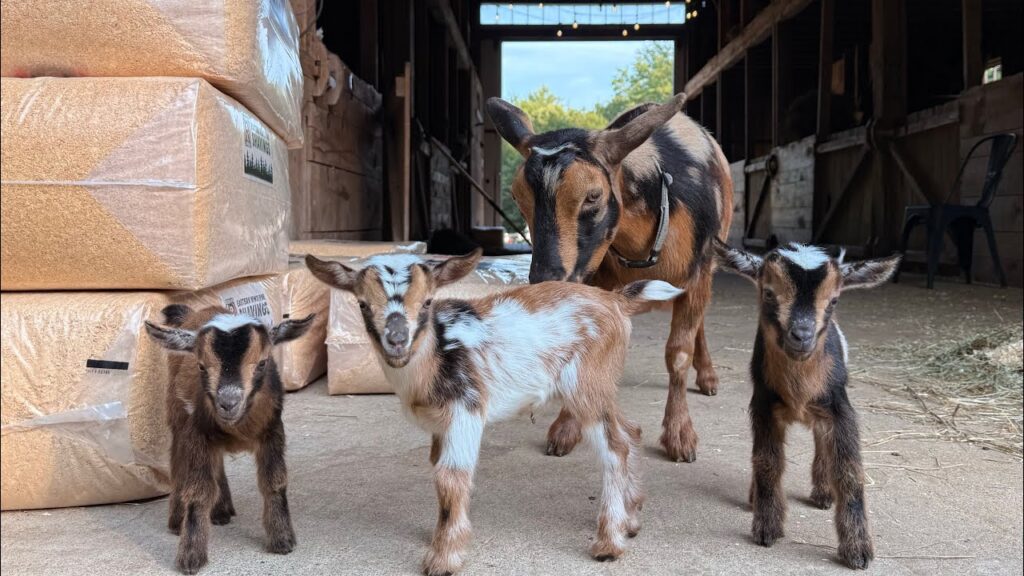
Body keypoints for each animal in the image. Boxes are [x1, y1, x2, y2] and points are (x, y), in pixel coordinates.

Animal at [145, 305, 314, 574]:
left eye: (263, 363)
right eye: (201, 366)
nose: (228, 403)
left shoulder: (273, 430)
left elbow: (274, 481)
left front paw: (283, 541)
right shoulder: (196, 434)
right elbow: (198, 490)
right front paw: (190, 557)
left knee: (218, 466)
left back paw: (222, 511)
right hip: (176, 414)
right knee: (178, 463)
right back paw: (177, 521)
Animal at [305, 249, 684, 575]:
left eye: (427, 301)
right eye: (362, 304)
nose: (397, 341)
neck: (435, 358)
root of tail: (615, 301)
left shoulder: (466, 410)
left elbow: (450, 478)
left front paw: (443, 559)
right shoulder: (440, 426)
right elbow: (439, 473)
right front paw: (442, 537)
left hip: (585, 385)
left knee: (614, 447)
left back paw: (608, 544)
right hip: (600, 387)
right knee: (630, 431)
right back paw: (631, 520)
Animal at [487, 93, 733, 463]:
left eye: (593, 196)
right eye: (517, 197)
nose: (547, 280)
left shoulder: (696, 272)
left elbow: (678, 353)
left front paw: (680, 435)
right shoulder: (593, 279)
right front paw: (566, 428)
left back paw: (707, 377)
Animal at [714, 240, 901, 570]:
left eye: (835, 300)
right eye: (768, 292)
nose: (802, 336)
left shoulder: (839, 408)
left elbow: (849, 470)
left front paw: (858, 551)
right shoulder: (763, 405)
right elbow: (767, 461)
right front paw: (767, 527)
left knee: (821, 441)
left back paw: (824, 493)